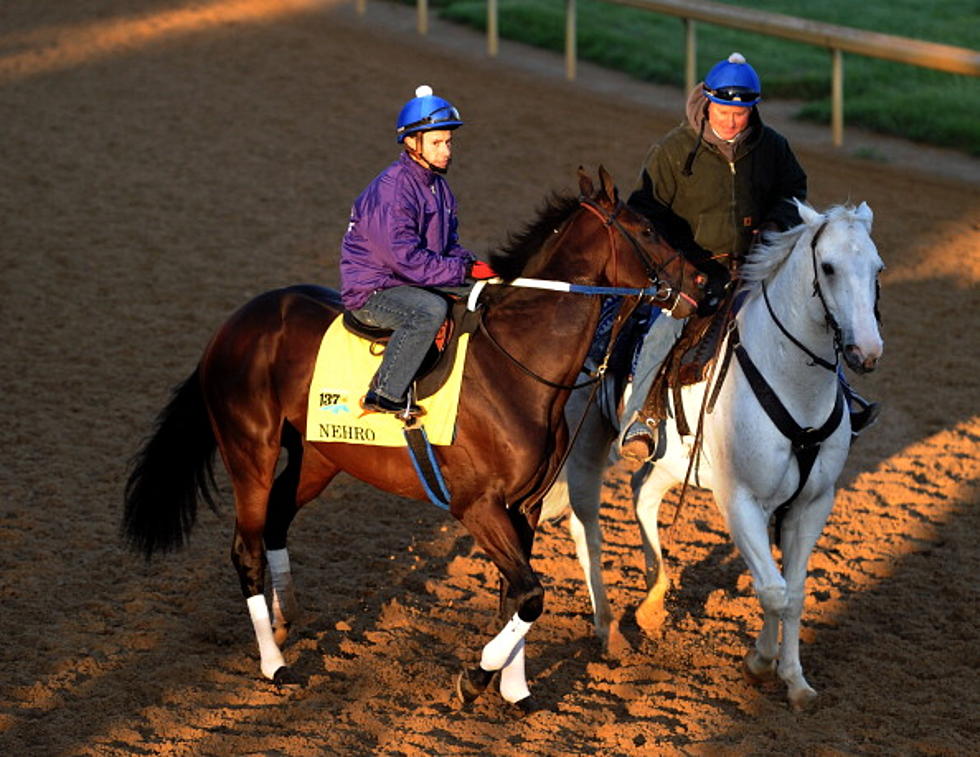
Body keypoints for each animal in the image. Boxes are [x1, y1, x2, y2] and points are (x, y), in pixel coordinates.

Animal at [120, 165, 720, 708]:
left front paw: (515, 690)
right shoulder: (476, 506)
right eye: (648, 231)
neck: (517, 363)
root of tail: (234, 325)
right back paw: (274, 663)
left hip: (320, 458)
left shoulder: (523, 507)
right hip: (252, 452)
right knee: (245, 546)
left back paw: (286, 617)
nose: (704, 284)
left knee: (275, 523)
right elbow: (529, 596)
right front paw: (477, 678)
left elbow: (516, 596)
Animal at [540, 199, 884, 708]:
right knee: (587, 532)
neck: (792, 384)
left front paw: (795, 681)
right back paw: (611, 630)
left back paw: (653, 601)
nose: (867, 351)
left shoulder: (812, 503)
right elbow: (773, 590)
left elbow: (794, 593)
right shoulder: (738, 499)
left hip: (669, 462)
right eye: (828, 267)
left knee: (642, 493)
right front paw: (760, 662)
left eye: (877, 268)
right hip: (582, 452)